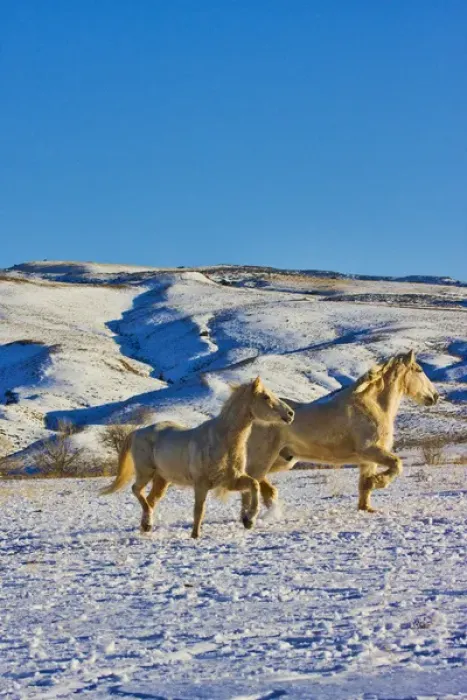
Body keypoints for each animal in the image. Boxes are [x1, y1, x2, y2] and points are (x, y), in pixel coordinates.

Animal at [100, 377, 294, 538]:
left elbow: (254, 485)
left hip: (162, 480)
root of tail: (139, 431)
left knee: (150, 500)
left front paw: (249, 520)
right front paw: (195, 536)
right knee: (136, 490)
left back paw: (146, 526)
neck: (222, 440)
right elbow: (199, 510)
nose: (290, 414)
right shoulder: (201, 484)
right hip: (145, 473)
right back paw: (146, 524)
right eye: (265, 397)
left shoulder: (231, 481)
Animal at [241, 350, 439, 518]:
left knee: (256, 478)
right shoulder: (370, 450)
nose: (435, 396)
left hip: (284, 459)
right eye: (419, 370)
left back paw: (271, 500)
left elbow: (364, 487)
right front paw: (378, 481)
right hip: (264, 457)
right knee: (251, 477)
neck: (374, 406)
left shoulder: (368, 460)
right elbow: (397, 464)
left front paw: (368, 505)